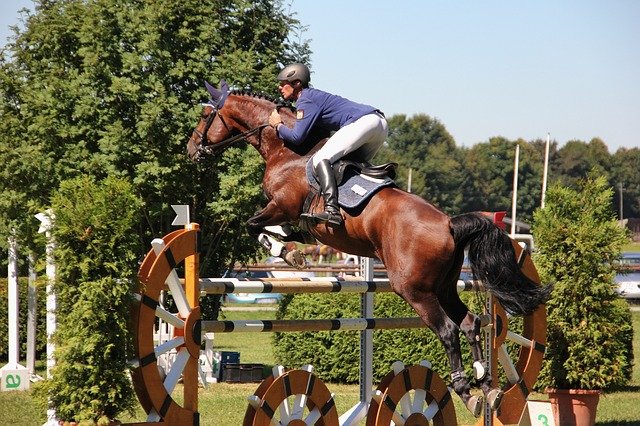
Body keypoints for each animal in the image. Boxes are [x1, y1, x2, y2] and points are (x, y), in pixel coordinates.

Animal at [186, 80, 552, 416]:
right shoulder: (288, 215)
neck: (286, 151)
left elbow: (253, 226)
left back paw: (465, 388)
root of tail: (449, 224)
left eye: (205, 115)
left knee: (448, 330)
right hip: (445, 286)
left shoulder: (281, 206)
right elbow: (276, 229)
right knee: (470, 324)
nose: (191, 150)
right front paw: (294, 246)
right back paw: (485, 386)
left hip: (415, 290)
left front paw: (289, 253)